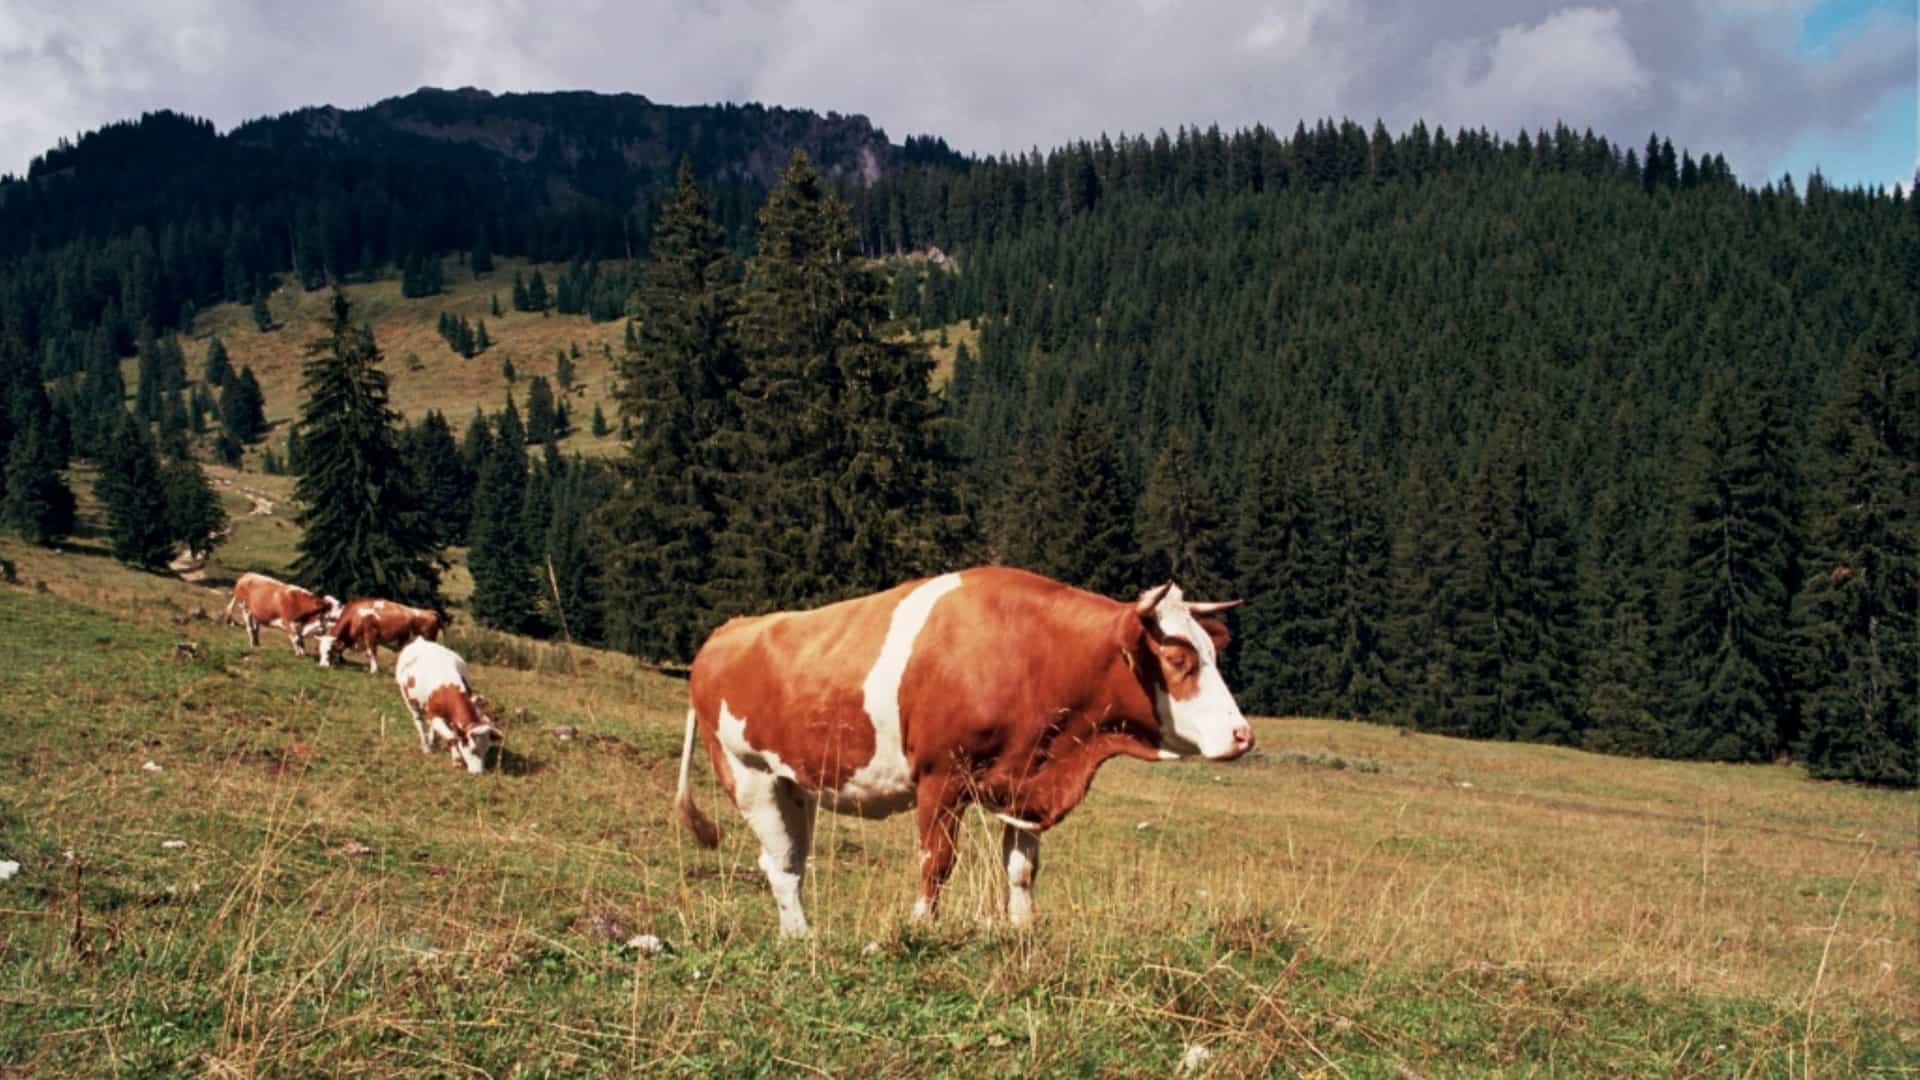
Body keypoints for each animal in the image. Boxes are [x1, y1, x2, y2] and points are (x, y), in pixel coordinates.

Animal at [319, 598, 447, 672]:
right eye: (319, 651)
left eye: (329, 651)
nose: (322, 666)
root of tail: (430, 611)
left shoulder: (370, 634)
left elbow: (370, 652)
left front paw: (374, 670)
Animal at [394, 638, 502, 774]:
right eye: (472, 750)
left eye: (487, 749)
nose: (478, 773)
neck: (448, 688)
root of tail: (419, 640)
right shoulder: (434, 716)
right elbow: (452, 737)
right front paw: (457, 760)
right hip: (410, 701)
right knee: (419, 722)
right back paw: (426, 747)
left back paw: (432, 740)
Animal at [673, 566, 1252, 938]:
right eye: (1178, 659)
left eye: (1211, 652)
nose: (1243, 735)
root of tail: (728, 631)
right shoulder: (941, 777)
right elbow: (937, 862)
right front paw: (919, 927)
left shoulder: (1025, 784)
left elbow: (1022, 869)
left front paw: (1022, 930)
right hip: (749, 775)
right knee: (778, 862)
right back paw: (801, 937)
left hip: (795, 784)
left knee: (789, 858)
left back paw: (798, 934)